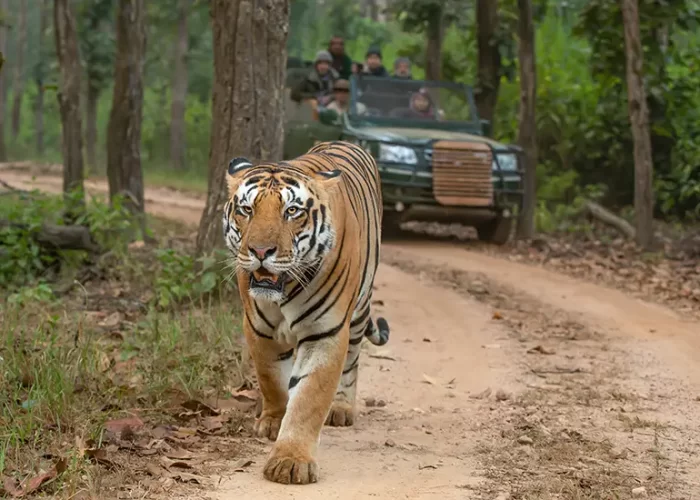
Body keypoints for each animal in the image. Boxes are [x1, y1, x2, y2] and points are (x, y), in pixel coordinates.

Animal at [223, 141, 392, 484]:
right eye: (247, 210)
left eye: (292, 211)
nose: (260, 252)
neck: (284, 291)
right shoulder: (258, 329)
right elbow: (271, 379)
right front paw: (273, 421)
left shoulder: (324, 333)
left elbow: (309, 397)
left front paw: (290, 461)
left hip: (358, 313)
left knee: (352, 360)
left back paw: (341, 408)